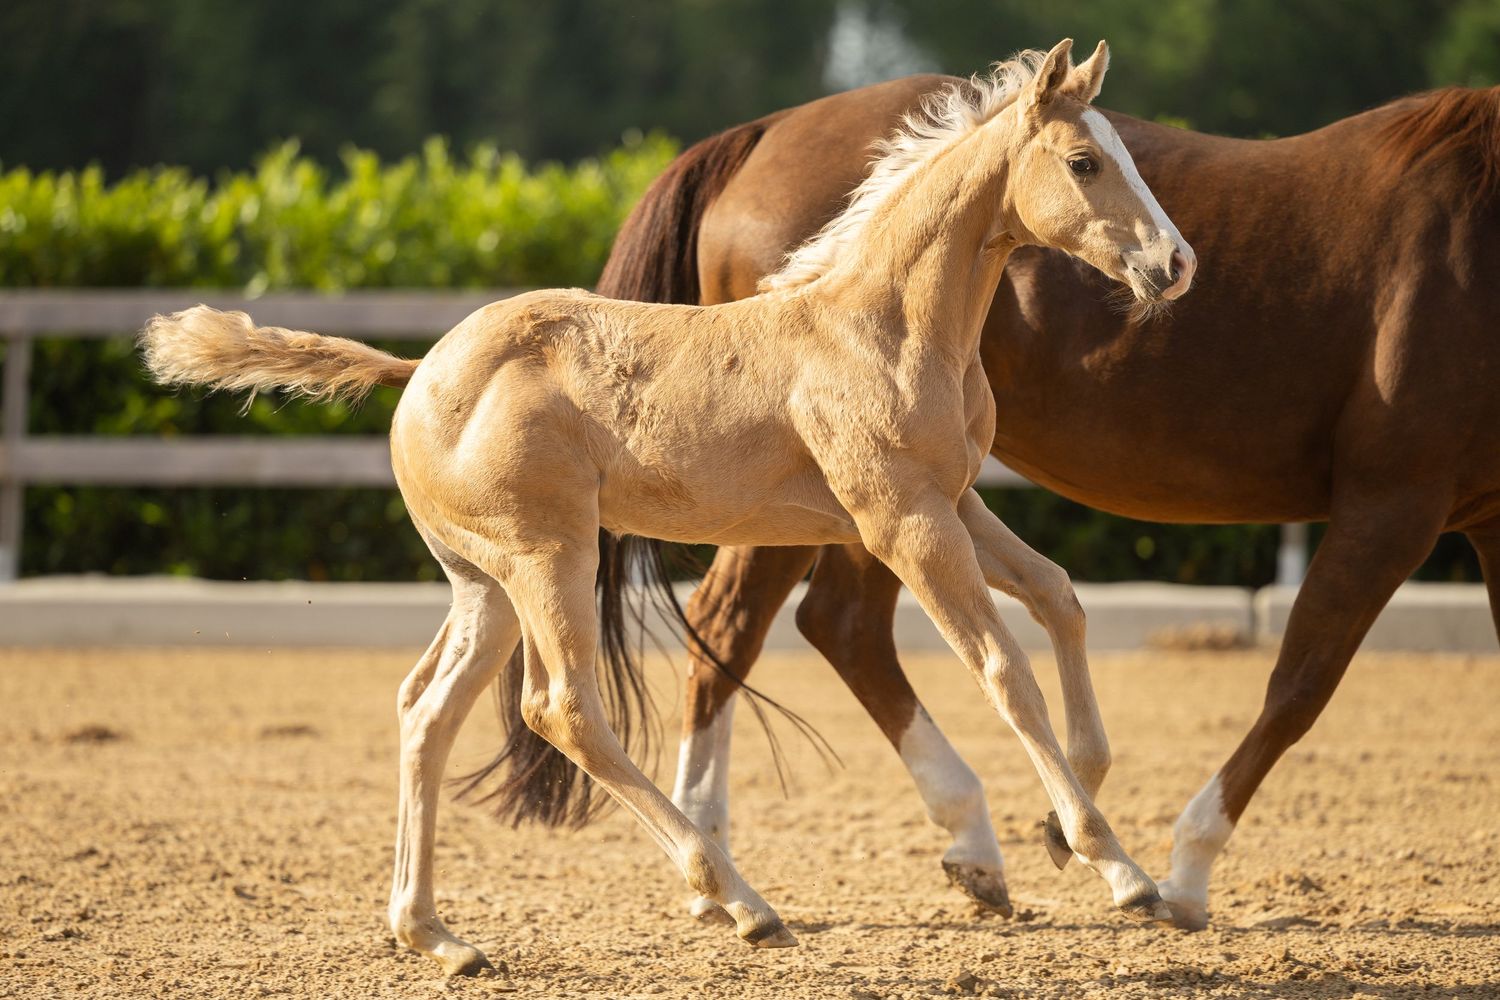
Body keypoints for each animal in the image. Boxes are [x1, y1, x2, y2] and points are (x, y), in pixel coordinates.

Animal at [139, 40, 1196, 976]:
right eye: (1084, 161)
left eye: (1127, 152)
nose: (1176, 265)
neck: (881, 326)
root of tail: (421, 370)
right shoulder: (902, 518)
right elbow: (1002, 669)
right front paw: (1120, 870)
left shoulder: (956, 501)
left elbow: (1059, 596)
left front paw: (1064, 828)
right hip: (549, 560)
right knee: (564, 708)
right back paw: (741, 901)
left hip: (484, 584)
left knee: (426, 710)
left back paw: (436, 936)